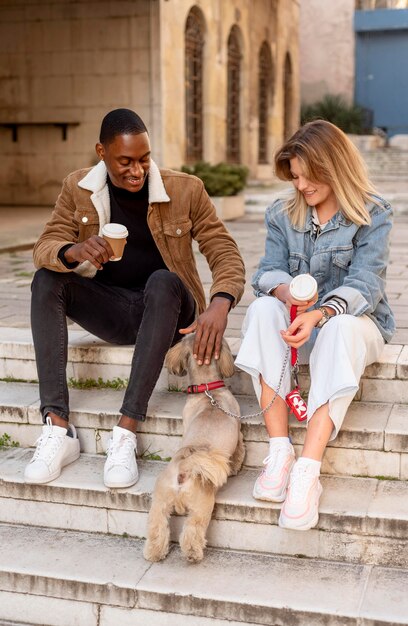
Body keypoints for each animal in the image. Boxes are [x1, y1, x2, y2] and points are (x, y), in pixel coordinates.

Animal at [144, 334, 245, 564]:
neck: (208, 389)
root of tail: (184, 469)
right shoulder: (238, 430)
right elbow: (239, 449)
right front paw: (236, 466)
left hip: (160, 500)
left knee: (157, 525)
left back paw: (154, 552)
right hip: (202, 505)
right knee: (193, 529)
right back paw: (193, 552)